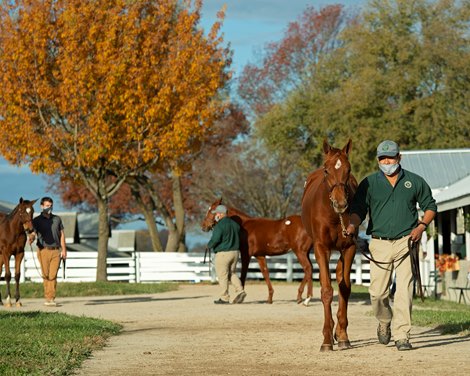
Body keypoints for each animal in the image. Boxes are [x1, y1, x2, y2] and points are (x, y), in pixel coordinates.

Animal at [302, 139, 356, 352]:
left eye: (349, 169)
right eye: (327, 170)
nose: (341, 204)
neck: (334, 217)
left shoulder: (349, 248)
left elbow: (345, 289)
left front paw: (343, 336)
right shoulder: (321, 249)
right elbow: (326, 291)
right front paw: (326, 339)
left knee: (341, 278)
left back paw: (339, 332)